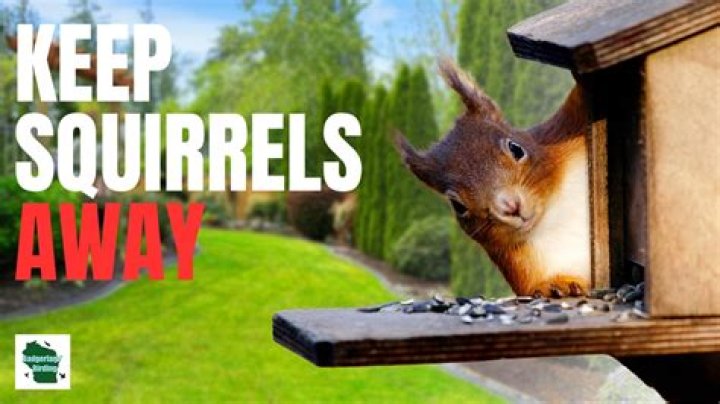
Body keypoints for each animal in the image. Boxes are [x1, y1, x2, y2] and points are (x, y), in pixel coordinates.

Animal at [396, 59, 590, 298]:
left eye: (516, 148)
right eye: (458, 205)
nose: (509, 206)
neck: (550, 214)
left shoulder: (562, 129)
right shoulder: (516, 263)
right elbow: (531, 286)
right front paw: (555, 284)